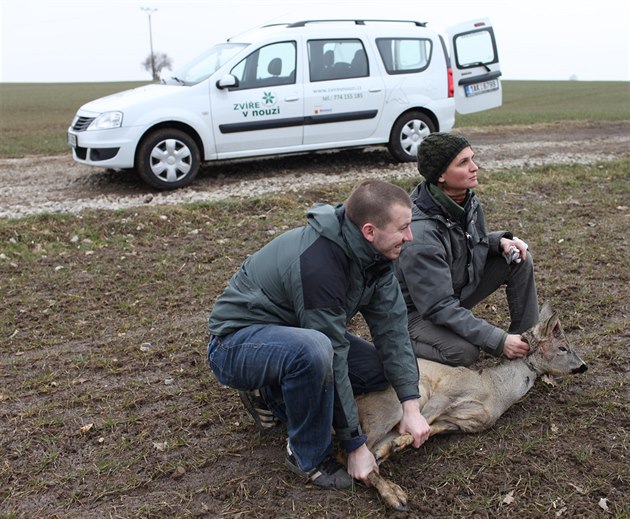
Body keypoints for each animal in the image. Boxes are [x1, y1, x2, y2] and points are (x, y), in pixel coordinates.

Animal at [358, 304, 592, 512]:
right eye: (563, 348)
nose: (584, 366)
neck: (493, 389)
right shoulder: (447, 391)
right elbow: (420, 422)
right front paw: (396, 445)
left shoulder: (460, 424)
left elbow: (426, 429)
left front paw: (389, 449)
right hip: (389, 406)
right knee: (356, 451)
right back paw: (393, 496)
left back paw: (394, 488)